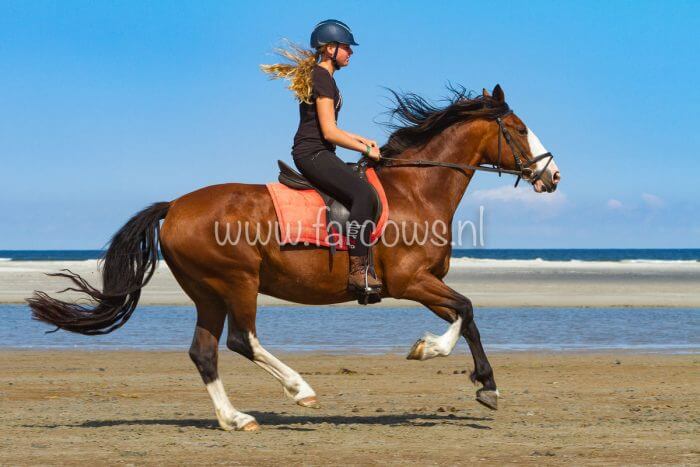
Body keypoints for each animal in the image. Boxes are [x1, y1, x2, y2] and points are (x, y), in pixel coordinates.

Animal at [30, 83, 560, 432]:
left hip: (207, 293)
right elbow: (466, 311)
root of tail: (174, 206)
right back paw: (300, 390)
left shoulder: (422, 282)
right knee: (242, 341)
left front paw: (466, 373)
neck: (416, 190)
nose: (552, 176)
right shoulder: (410, 280)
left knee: (204, 351)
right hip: (237, 281)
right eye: (518, 129)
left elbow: (463, 316)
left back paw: (234, 418)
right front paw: (453, 364)